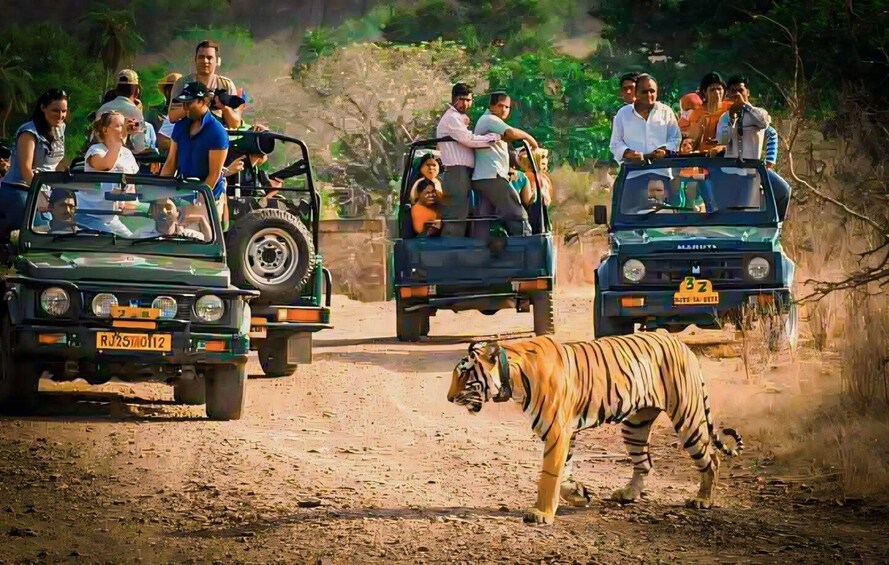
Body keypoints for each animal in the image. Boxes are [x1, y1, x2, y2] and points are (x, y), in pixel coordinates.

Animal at [447, 333, 743, 525]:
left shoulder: (557, 431)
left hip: (687, 417)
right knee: (644, 463)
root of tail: (682, 344)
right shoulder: (565, 433)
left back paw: (703, 500)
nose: (449, 398)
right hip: (635, 425)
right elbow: (563, 474)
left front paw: (541, 514)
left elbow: (549, 475)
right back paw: (628, 494)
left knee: (711, 460)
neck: (512, 376)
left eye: (464, 374)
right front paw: (579, 494)